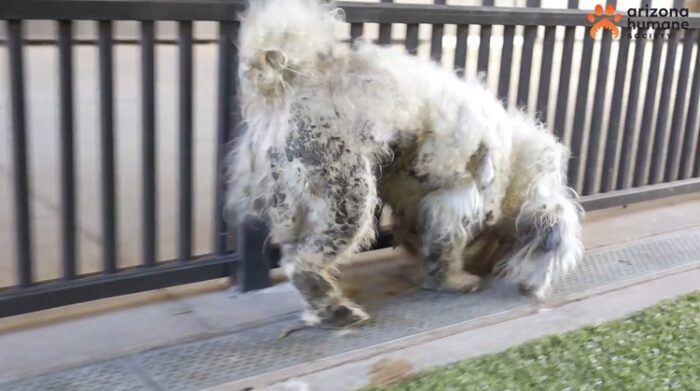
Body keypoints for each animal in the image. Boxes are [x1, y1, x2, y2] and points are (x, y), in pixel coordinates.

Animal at [227, 0, 584, 330]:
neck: (519, 171)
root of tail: (282, 89)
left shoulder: (421, 203)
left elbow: (424, 238)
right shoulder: (456, 199)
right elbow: (446, 246)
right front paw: (453, 280)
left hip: (295, 195)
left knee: (292, 253)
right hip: (345, 195)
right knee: (301, 263)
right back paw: (337, 311)